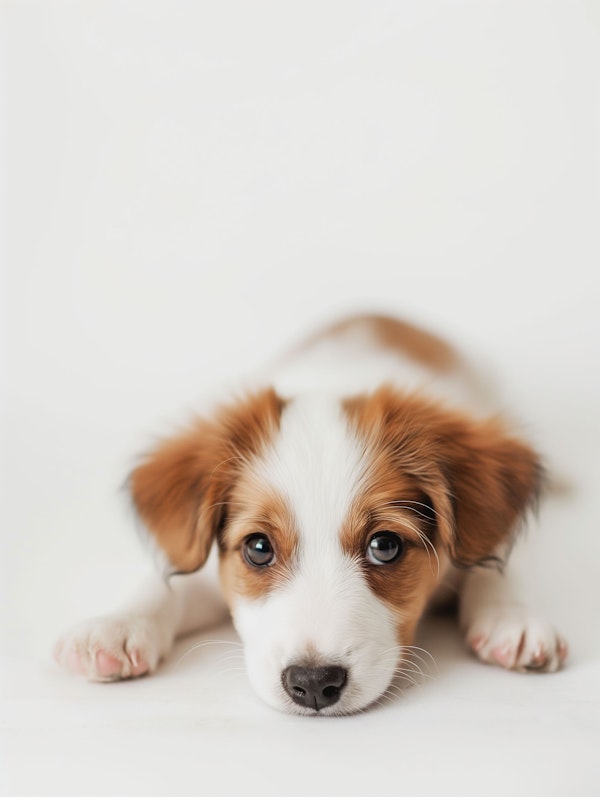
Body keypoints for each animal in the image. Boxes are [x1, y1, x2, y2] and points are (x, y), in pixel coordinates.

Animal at [52, 312, 568, 716]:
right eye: (259, 548)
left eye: (385, 546)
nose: (314, 684)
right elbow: (166, 584)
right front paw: (115, 628)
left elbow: (494, 562)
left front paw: (513, 618)